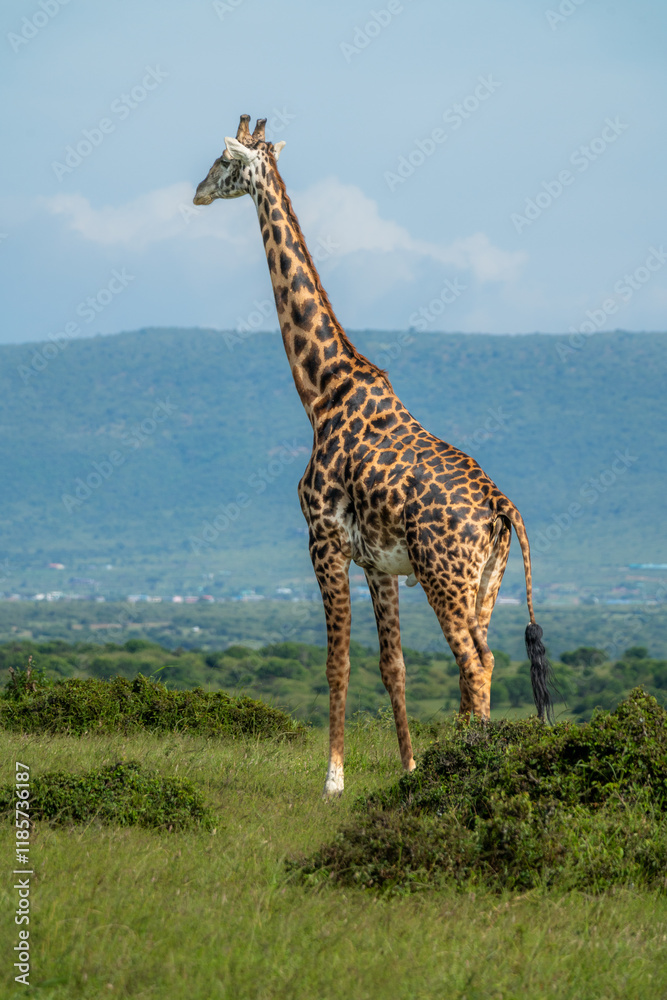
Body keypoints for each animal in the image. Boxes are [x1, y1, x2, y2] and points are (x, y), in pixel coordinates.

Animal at [194, 115, 555, 797]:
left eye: (223, 162)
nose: (197, 192)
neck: (321, 389)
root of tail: (503, 509)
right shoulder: (377, 563)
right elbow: (394, 665)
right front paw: (407, 769)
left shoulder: (322, 539)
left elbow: (337, 663)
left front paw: (333, 780)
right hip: (485, 581)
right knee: (487, 658)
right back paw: (457, 765)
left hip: (444, 574)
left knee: (473, 663)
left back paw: (464, 769)